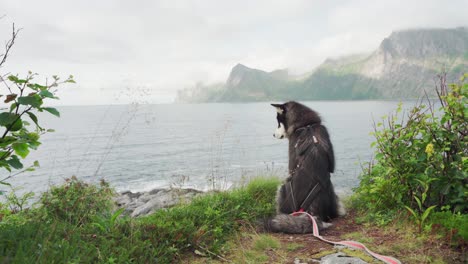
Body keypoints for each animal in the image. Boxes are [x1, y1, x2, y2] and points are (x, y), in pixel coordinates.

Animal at [266, 100, 346, 233]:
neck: (307, 125)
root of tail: (312, 212)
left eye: (278, 122)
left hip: (283, 188)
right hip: (332, 192)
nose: (272, 134)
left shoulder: (291, 166)